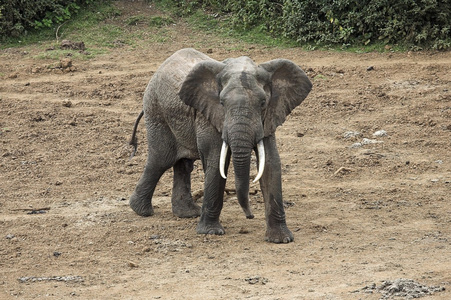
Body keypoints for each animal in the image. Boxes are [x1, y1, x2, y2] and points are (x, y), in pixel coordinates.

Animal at [129, 48, 312, 243]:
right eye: (222, 103)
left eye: (263, 103)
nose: (250, 216)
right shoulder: (208, 115)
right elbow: (217, 161)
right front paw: (211, 232)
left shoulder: (269, 116)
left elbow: (270, 163)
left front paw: (281, 239)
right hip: (156, 111)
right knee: (161, 160)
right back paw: (142, 211)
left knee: (183, 165)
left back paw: (187, 214)